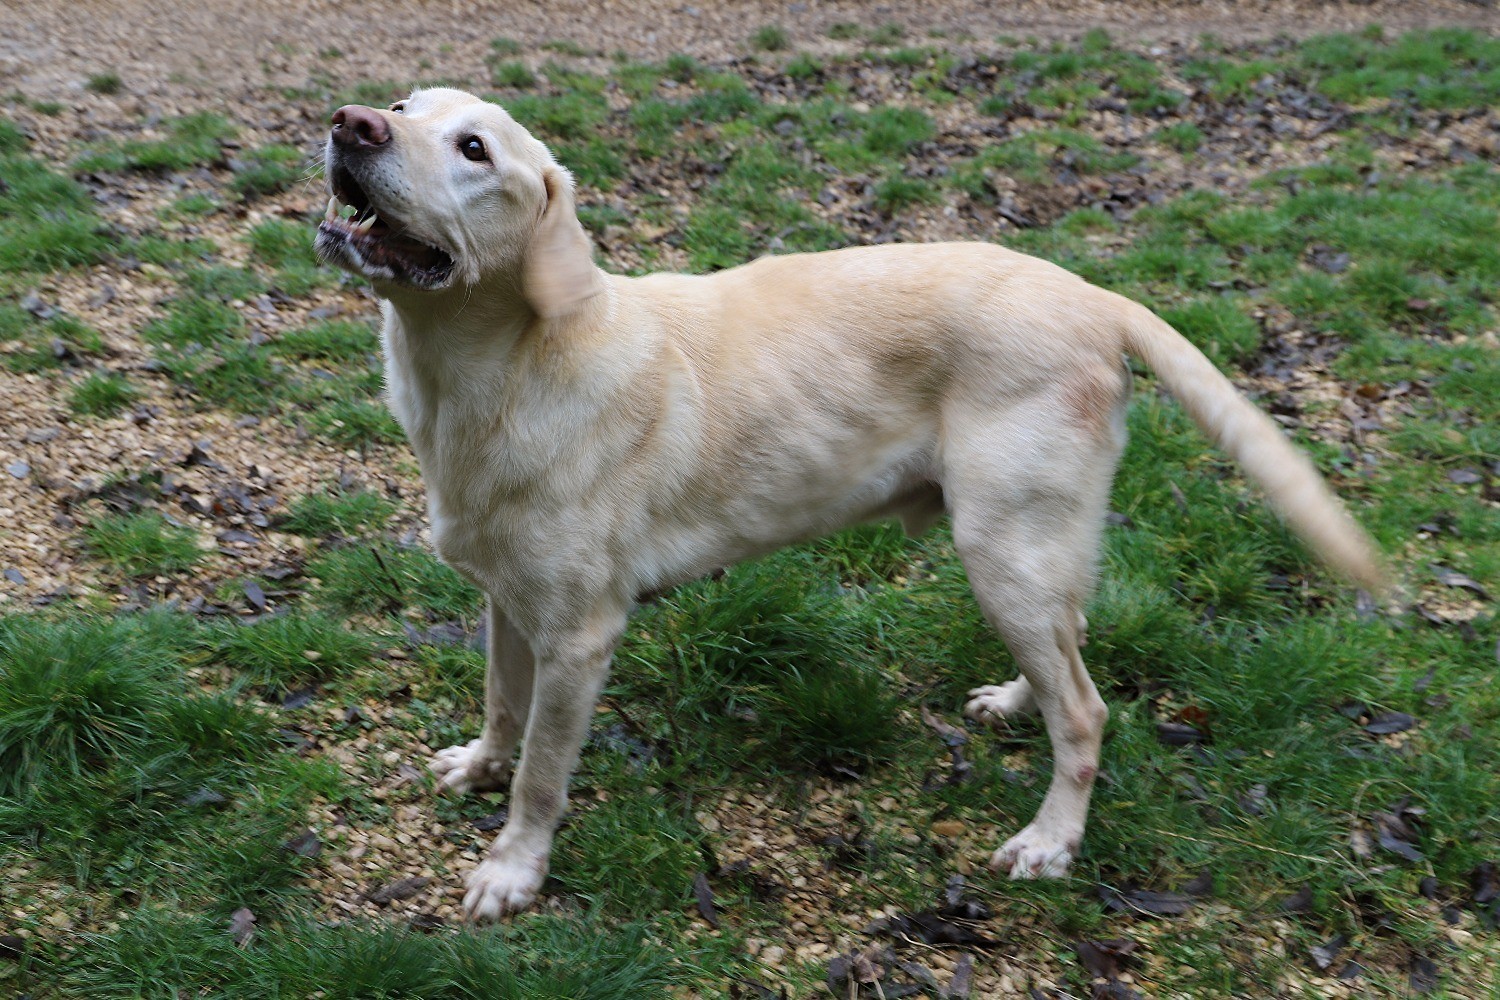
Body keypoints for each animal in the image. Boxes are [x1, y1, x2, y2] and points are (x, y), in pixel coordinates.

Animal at [313, 88, 1380, 923]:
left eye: (475, 150)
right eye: (406, 106)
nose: (352, 123)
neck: (488, 375)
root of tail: (1095, 296)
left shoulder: (579, 635)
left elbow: (542, 774)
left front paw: (512, 870)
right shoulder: (506, 599)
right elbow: (502, 706)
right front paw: (478, 767)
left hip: (1000, 544)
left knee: (1085, 713)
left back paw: (1051, 840)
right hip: (1035, 545)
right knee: (1071, 639)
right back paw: (1015, 699)